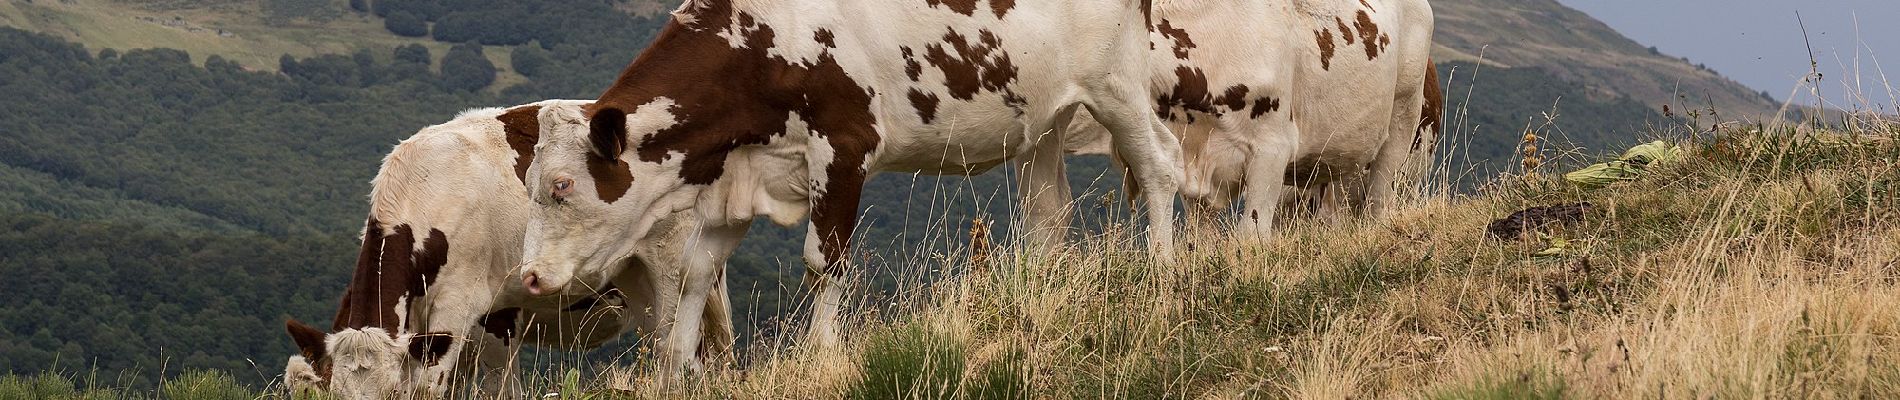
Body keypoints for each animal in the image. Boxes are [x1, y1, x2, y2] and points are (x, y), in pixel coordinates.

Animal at [281, 100, 733, 400]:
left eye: (391, 392)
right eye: (332, 393)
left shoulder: (467, 309)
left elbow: (444, 388)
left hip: (674, 265)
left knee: (682, 347)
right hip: (639, 281)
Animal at [513, 0, 1178, 375]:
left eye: (563, 186)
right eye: (533, 183)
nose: (530, 276)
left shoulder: (844, 147)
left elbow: (824, 262)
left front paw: (824, 355)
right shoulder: (734, 178)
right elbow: (694, 273)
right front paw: (676, 376)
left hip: (1118, 84)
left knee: (1160, 165)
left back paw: (1165, 272)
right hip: (1042, 116)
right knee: (1049, 212)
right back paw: (1031, 300)